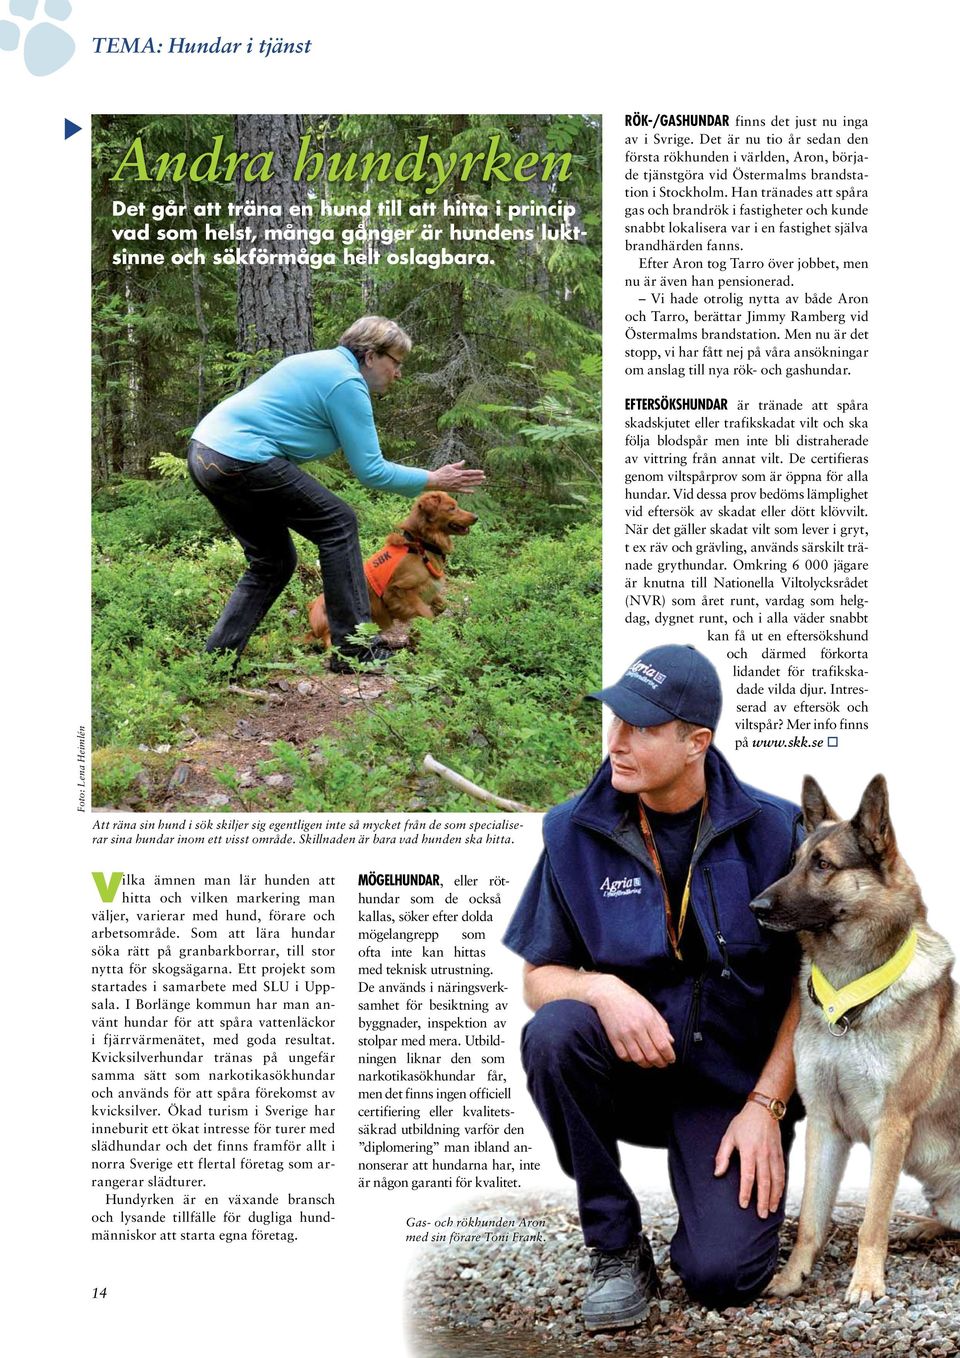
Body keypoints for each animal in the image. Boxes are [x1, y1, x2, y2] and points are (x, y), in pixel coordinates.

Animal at [308, 488, 477, 646]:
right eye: (451, 508)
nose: (476, 517)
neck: (421, 544)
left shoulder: (429, 588)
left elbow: (442, 605)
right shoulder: (397, 591)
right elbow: (425, 613)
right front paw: (417, 634)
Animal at [754, 782, 955, 1298]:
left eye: (824, 864)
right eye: (794, 860)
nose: (755, 908)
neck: (849, 1001)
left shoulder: (891, 1128)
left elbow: (873, 1217)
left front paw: (865, 1282)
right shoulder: (824, 1125)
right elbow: (810, 1218)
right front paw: (791, 1277)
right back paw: (923, 1228)